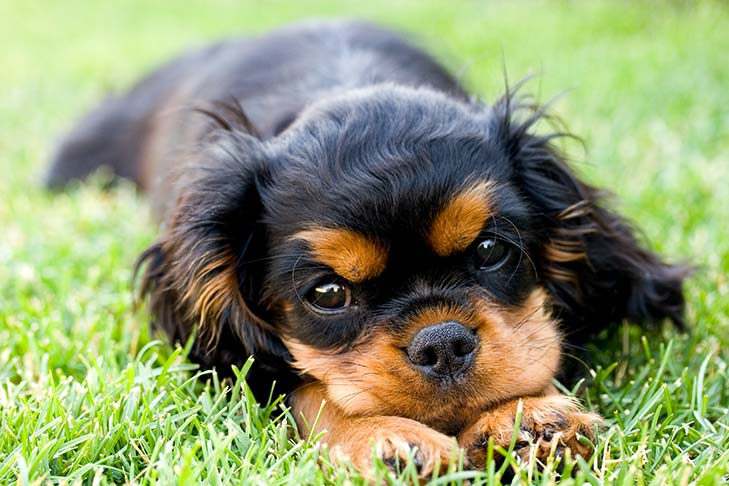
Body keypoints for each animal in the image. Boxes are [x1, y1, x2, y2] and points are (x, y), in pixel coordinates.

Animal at [47, 19, 688, 478]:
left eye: (489, 250)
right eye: (329, 293)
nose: (442, 343)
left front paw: (526, 419)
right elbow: (305, 389)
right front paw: (384, 437)